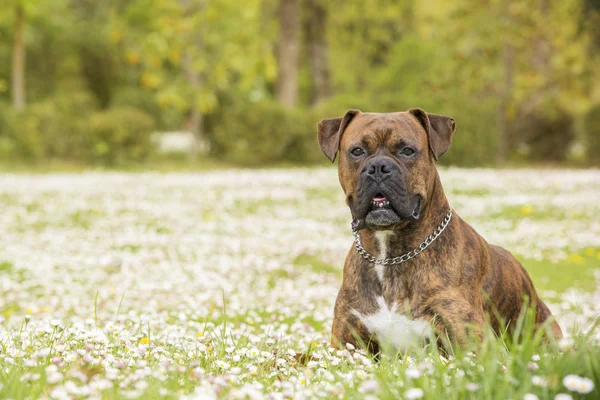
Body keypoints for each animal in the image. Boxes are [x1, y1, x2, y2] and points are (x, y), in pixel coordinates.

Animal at [318, 108, 564, 354]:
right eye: (356, 151)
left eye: (408, 151)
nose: (378, 167)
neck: (389, 256)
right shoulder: (343, 345)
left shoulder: (471, 346)